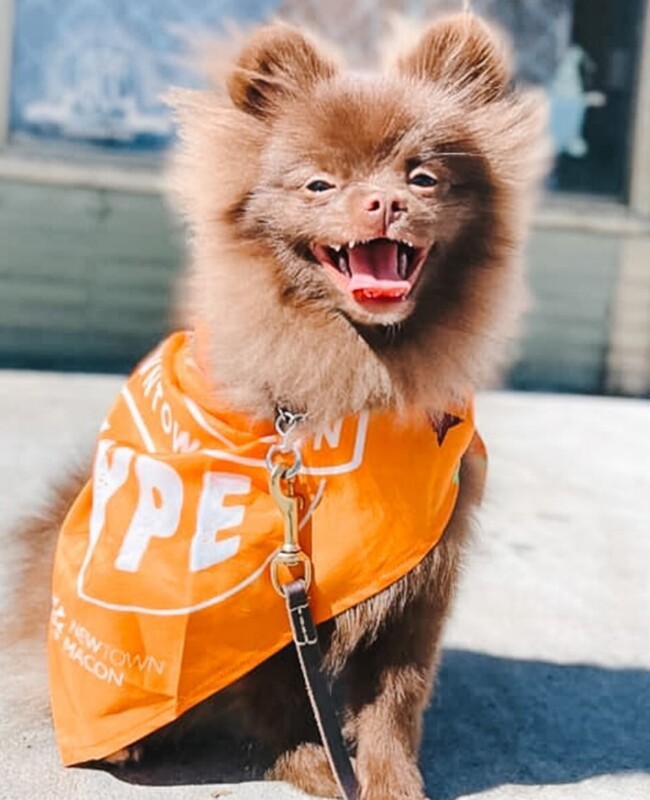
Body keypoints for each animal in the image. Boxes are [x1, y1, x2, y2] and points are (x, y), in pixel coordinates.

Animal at [19, 10, 548, 800]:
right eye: (319, 184)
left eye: (422, 176)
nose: (384, 201)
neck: (356, 374)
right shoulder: (266, 593)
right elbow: (284, 697)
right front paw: (316, 766)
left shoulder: (422, 581)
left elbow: (395, 702)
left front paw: (390, 780)